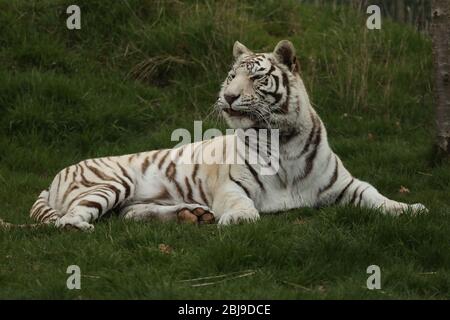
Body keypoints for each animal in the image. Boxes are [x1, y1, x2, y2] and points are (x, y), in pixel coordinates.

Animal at [6, 40, 426, 231]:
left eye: (256, 77)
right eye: (231, 76)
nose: (228, 97)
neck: (283, 141)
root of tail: (54, 177)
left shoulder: (345, 184)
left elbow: (376, 195)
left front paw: (410, 208)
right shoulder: (231, 184)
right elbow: (239, 202)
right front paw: (240, 219)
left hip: (130, 200)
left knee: (129, 214)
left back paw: (192, 214)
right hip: (111, 182)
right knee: (66, 220)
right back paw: (79, 225)